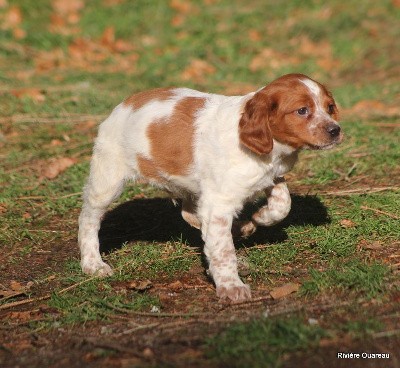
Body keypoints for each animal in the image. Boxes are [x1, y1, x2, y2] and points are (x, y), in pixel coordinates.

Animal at [79, 72, 344, 302]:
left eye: (330, 107)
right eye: (302, 110)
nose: (336, 130)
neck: (272, 151)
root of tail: (125, 104)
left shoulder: (269, 176)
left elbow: (283, 203)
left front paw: (259, 217)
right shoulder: (218, 202)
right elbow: (223, 250)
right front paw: (231, 286)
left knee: (188, 212)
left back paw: (238, 226)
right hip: (107, 179)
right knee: (88, 219)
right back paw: (93, 264)